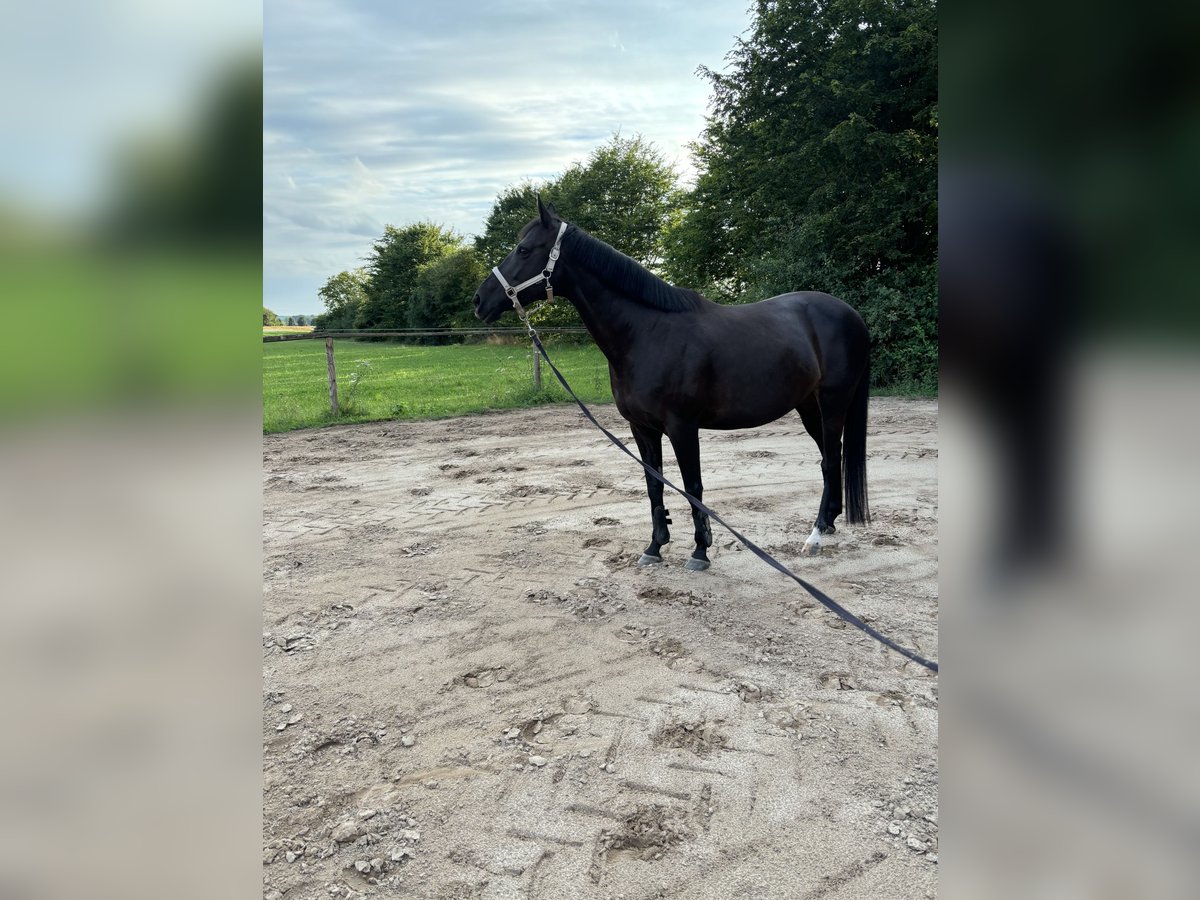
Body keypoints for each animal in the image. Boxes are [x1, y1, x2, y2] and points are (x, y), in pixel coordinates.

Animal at [475, 200, 873, 573]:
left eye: (524, 249)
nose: (480, 301)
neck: (647, 333)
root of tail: (851, 314)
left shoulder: (683, 427)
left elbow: (692, 485)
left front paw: (700, 551)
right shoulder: (642, 428)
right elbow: (654, 483)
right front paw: (654, 546)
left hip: (832, 403)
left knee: (829, 460)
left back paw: (815, 536)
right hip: (807, 406)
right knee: (830, 456)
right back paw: (829, 523)